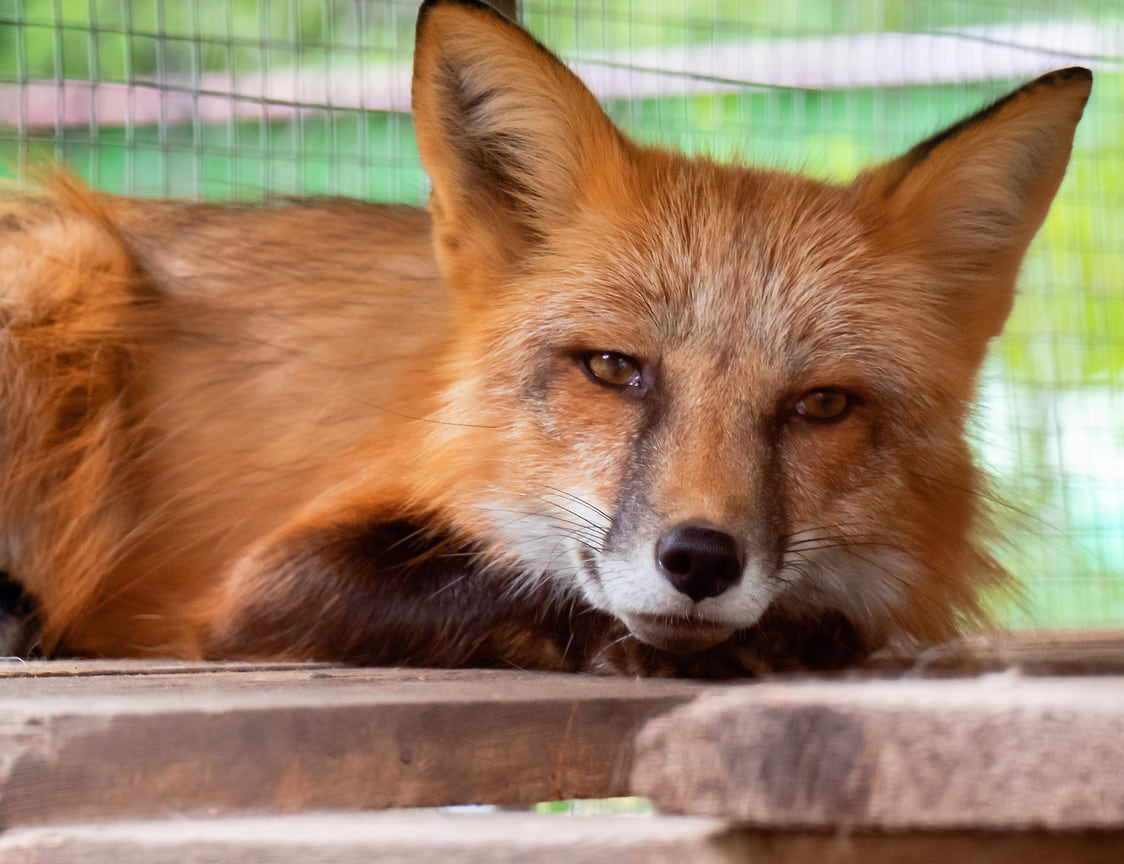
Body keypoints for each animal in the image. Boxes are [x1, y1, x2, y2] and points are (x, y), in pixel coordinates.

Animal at [0, 0, 1092, 674]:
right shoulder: (260, 586)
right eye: (613, 369)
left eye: (820, 405)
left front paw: (787, 635)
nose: (700, 561)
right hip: (67, 262)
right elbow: (503, 584)